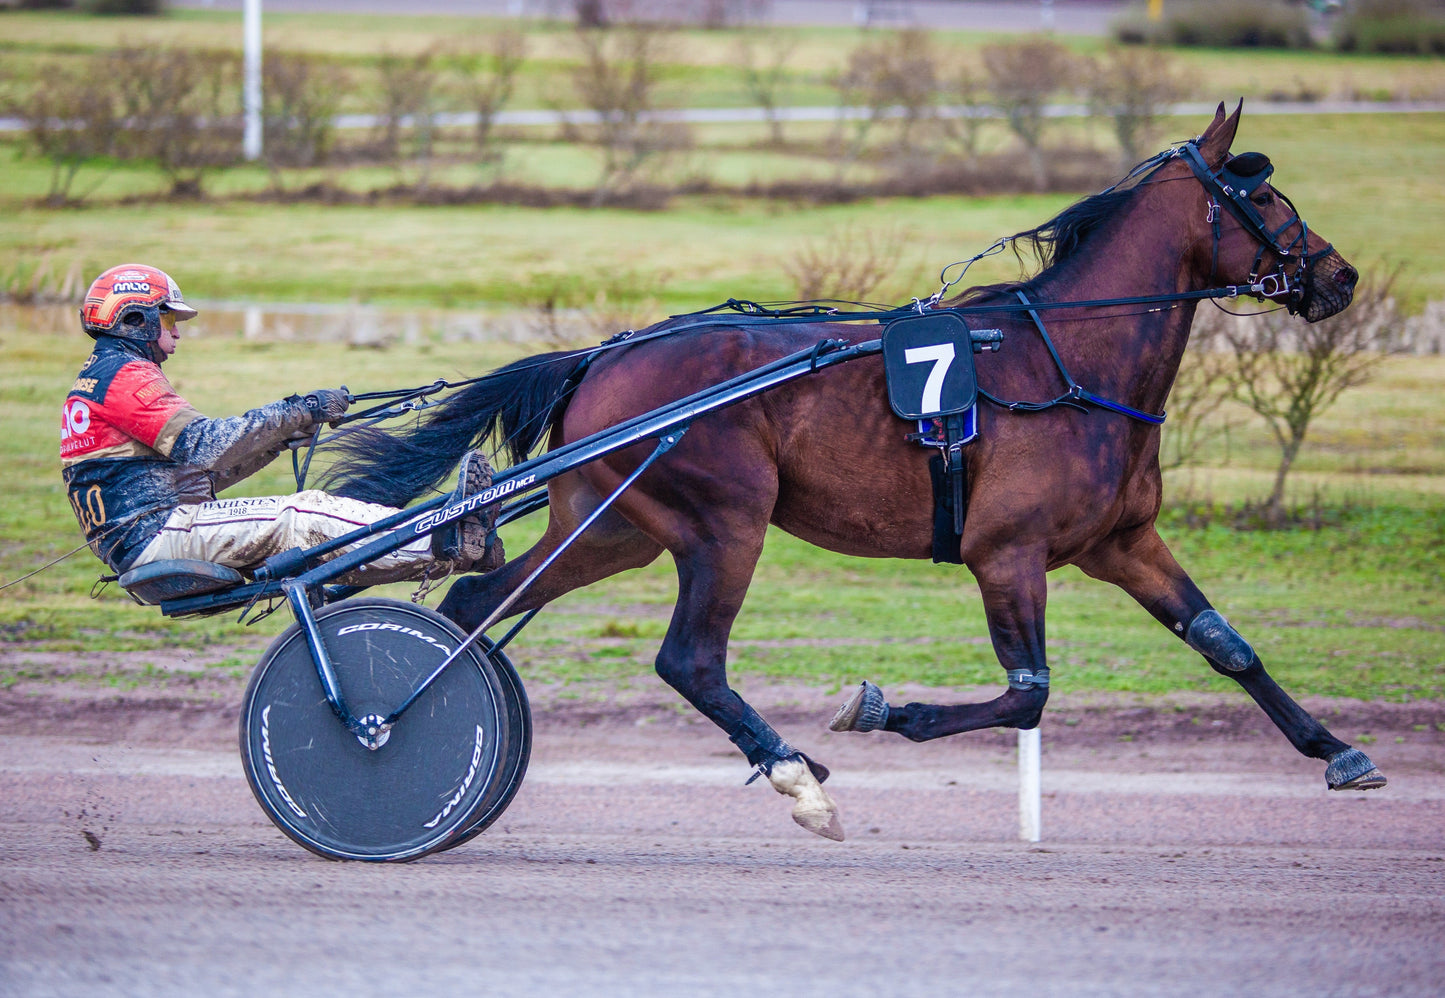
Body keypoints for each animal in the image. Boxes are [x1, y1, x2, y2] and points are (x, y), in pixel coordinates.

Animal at [327, 104, 1377, 840]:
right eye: (1266, 199)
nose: (1341, 276)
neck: (1071, 363)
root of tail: (603, 356)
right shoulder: (1006, 551)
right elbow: (1028, 690)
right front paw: (882, 710)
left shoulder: (1122, 541)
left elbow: (1225, 645)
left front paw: (1337, 751)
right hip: (723, 520)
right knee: (688, 658)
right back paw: (793, 775)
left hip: (616, 524)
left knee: (478, 602)